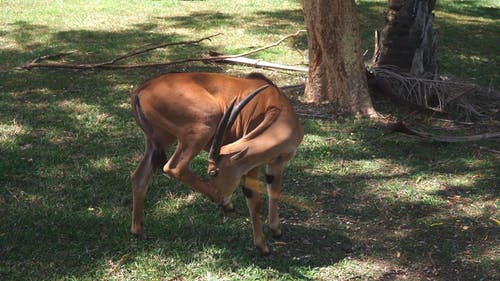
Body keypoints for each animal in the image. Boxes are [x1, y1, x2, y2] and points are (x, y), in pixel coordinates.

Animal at [131, 71, 302, 253]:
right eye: (212, 172)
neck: (276, 105)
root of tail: (142, 89)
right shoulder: (251, 167)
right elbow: (254, 200)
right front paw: (262, 246)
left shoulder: (277, 162)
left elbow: (274, 191)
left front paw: (276, 230)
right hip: (201, 129)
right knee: (174, 167)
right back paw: (224, 203)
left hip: (161, 140)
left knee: (139, 176)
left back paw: (138, 231)